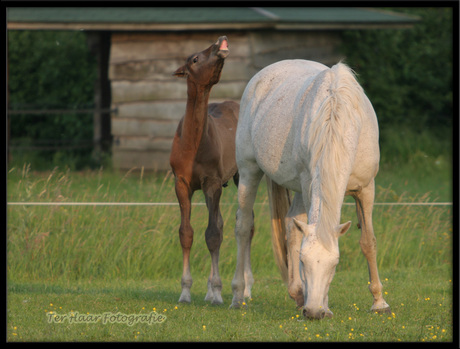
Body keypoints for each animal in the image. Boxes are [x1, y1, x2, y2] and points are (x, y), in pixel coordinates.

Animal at [232, 59, 390, 318]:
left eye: (335, 264)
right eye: (303, 261)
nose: (314, 311)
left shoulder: (366, 189)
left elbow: (368, 242)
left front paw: (379, 302)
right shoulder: (309, 184)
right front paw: (325, 304)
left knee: (290, 225)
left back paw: (296, 294)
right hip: (249, 171)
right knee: (244, 227)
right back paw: (238, 295)